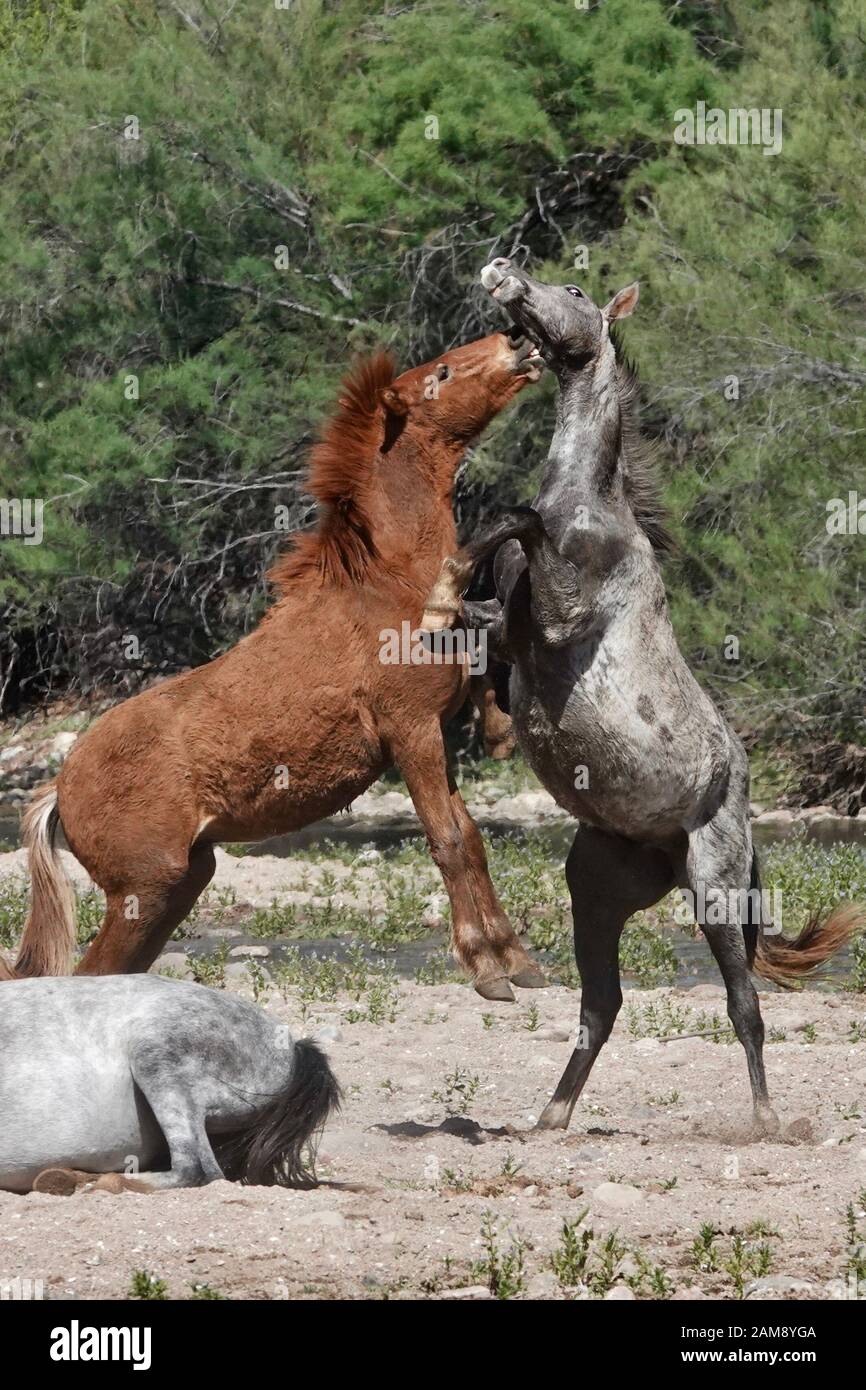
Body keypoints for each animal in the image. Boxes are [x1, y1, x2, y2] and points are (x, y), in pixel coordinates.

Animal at [3, 332, 547, 1000]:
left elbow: (470, 837)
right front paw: (486, 967)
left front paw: (518, 960)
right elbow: (447, 843)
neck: (388, 586)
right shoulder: (411, 731)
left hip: (181, 884)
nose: (516, 343)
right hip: (145, 890)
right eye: (440, 373)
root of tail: (58, 787)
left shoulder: (431, 737)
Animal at [422, 261, 861, 1139]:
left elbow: (516, 516)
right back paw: (548, 1118)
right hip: (595, 893)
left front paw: (445, 580)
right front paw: (438, 597)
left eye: (575, 294)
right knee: (603, 1004)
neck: (591, 509)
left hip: (715, 890)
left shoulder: (557, 620)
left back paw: (767, 1122)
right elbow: (485, 577)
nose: (502, 272)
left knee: (744, 1006)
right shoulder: (509, 637)